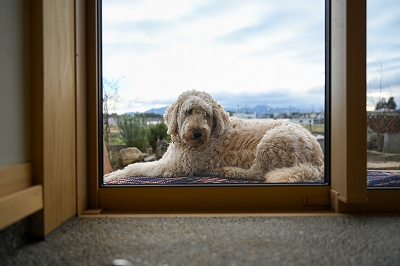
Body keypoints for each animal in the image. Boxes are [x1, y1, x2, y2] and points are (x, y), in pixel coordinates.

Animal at [101, 89, 324, 183]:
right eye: (189, 111)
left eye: (206, 114)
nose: (197, 132)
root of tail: (318, 161)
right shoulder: (170, 160)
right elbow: (136, 165)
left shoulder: (175, 166)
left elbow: (135, 167)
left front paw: (112, 175)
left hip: (273, 139)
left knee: (259, 173)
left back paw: (227, 171)